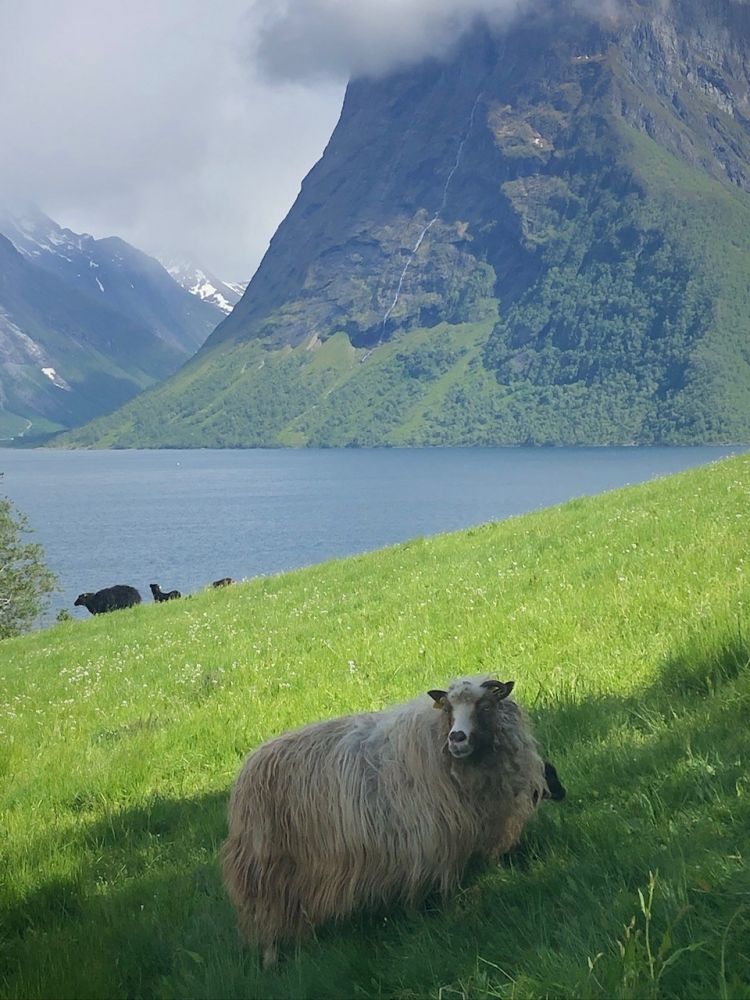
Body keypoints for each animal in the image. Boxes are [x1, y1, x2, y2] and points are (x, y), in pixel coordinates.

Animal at [222, 675, 563, 966]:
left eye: (486, 706)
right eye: (449, 709)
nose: (457, 738)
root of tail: (247, 769)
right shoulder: (430, 840)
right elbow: (439, 885)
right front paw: (439, 915)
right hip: (267, 869)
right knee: (266, 916)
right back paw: (271, 960)